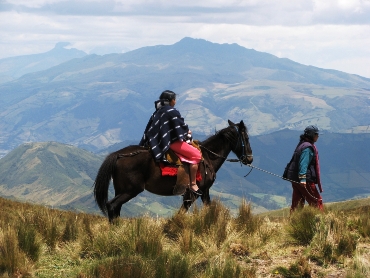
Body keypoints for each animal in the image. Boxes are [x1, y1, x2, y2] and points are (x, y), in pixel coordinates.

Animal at [94, 119, 253, 222]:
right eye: (246, 137)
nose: (250, 159)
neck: (207, 157)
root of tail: (119, 154)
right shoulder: (192, 194)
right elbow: (182, 212)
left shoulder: (204, 192)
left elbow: (208, 208)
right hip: (131, 190)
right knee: (112, 205)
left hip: (121, 190)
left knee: (116, 208)